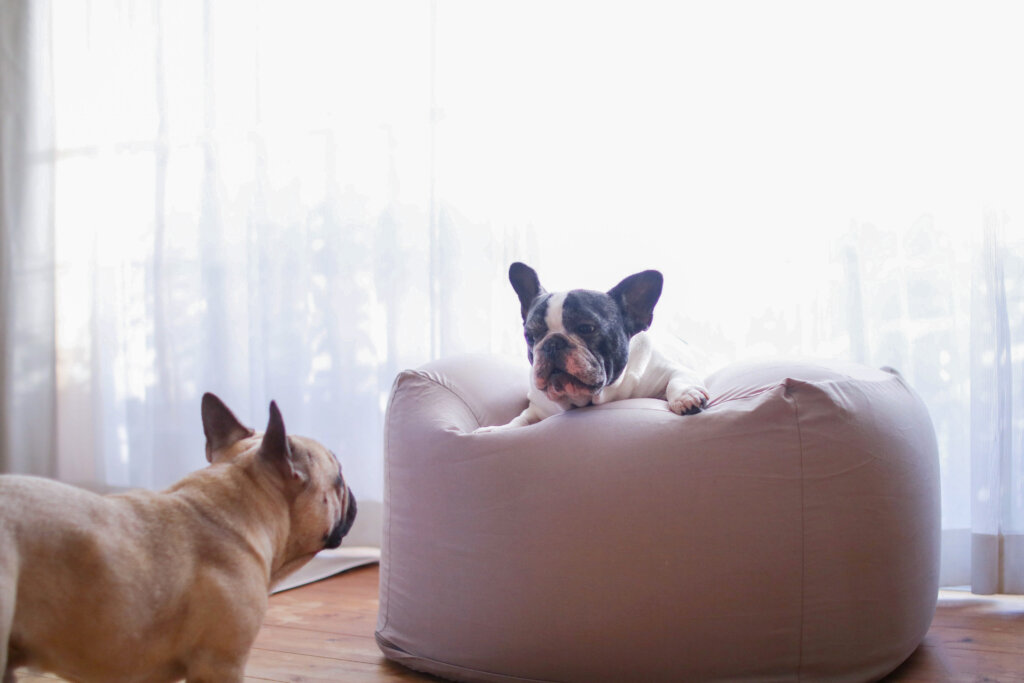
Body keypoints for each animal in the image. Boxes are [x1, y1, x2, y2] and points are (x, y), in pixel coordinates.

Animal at [482, 262, 709, 430]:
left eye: (586, 328)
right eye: (530, 336)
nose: (552, 343)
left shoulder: (671, 370)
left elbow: (678, 380)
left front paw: (686, 397)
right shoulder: (538, 407)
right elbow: (520, 419)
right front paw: (497, 429)